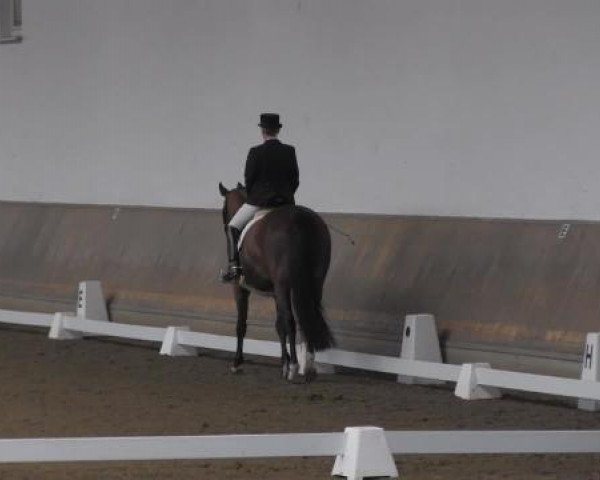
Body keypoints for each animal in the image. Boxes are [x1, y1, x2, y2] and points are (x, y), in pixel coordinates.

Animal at [218, 182, 336, 380]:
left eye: (223, 210)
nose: (226, 223)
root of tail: (300, 220)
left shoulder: (240, 287)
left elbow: (241, 324)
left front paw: (237, 363)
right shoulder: (275, 294)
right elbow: (279, 325)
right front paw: (283, 363)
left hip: (283, 285)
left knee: (291, 320)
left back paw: (295, 367)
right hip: (315, 282)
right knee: (307, 318)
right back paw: (309, 366)